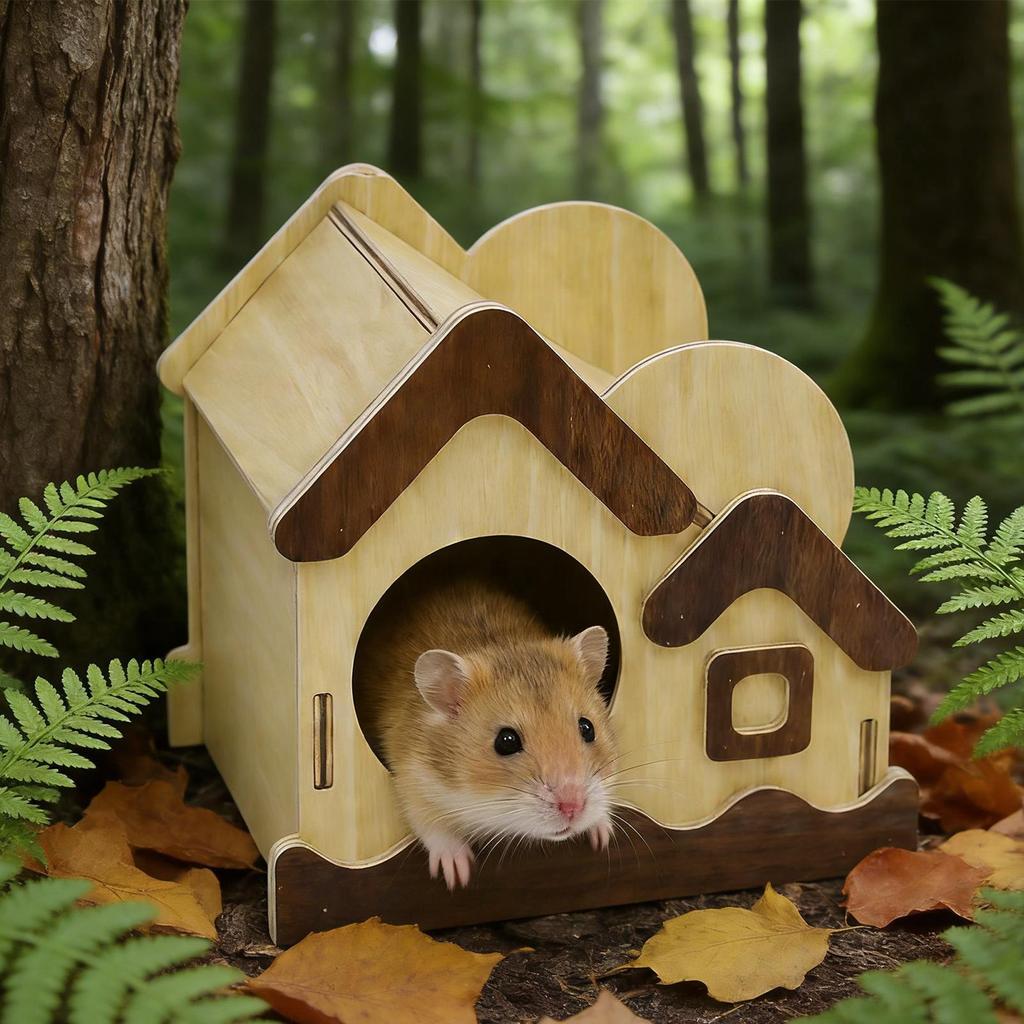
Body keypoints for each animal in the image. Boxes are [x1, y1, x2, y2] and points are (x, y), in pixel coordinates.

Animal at [360, 578, 616, 890]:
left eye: (587, 728)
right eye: (506, 741)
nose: (574, 807)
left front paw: (603, 837)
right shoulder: (412, 779)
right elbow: (432, 824)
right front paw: (458, 875)